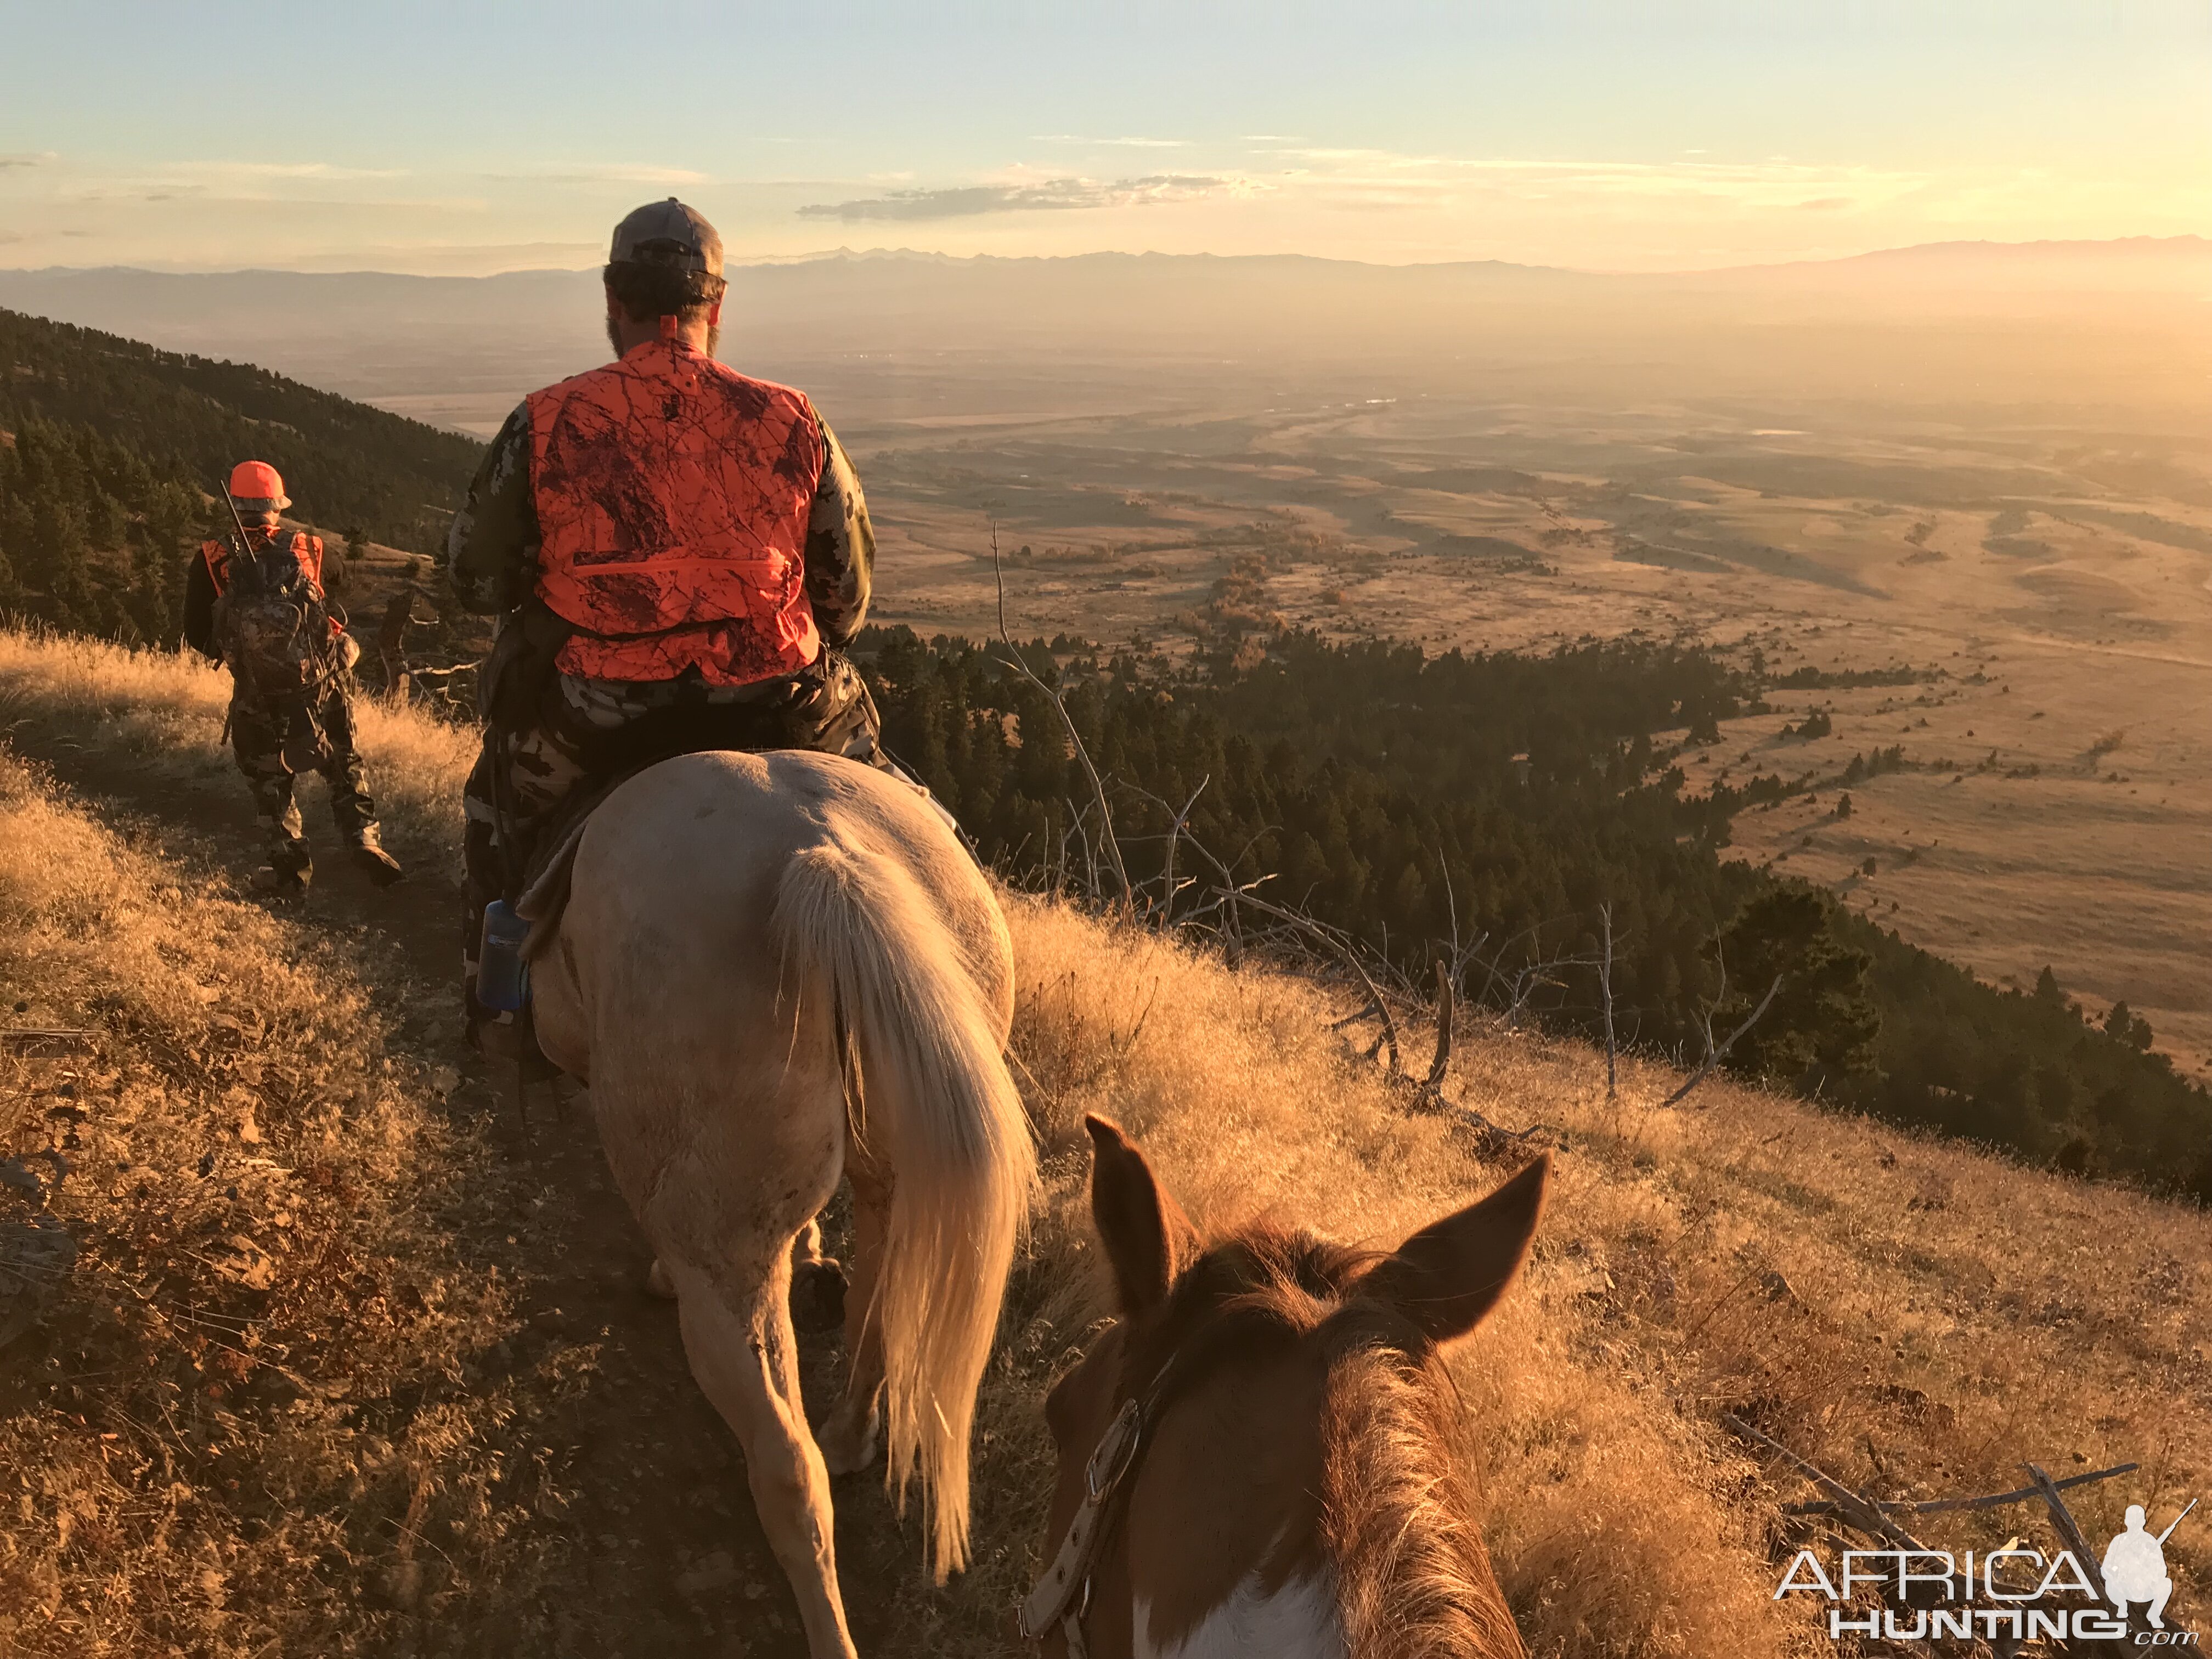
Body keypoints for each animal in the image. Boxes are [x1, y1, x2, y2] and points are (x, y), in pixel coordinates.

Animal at [517, 752, 1035, 1659]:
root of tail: (827, 859)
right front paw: (814, 1254)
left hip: (724, 1264)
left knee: (789, 1470)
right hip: (893, 1175)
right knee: (876, 1319)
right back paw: (853, 1431)